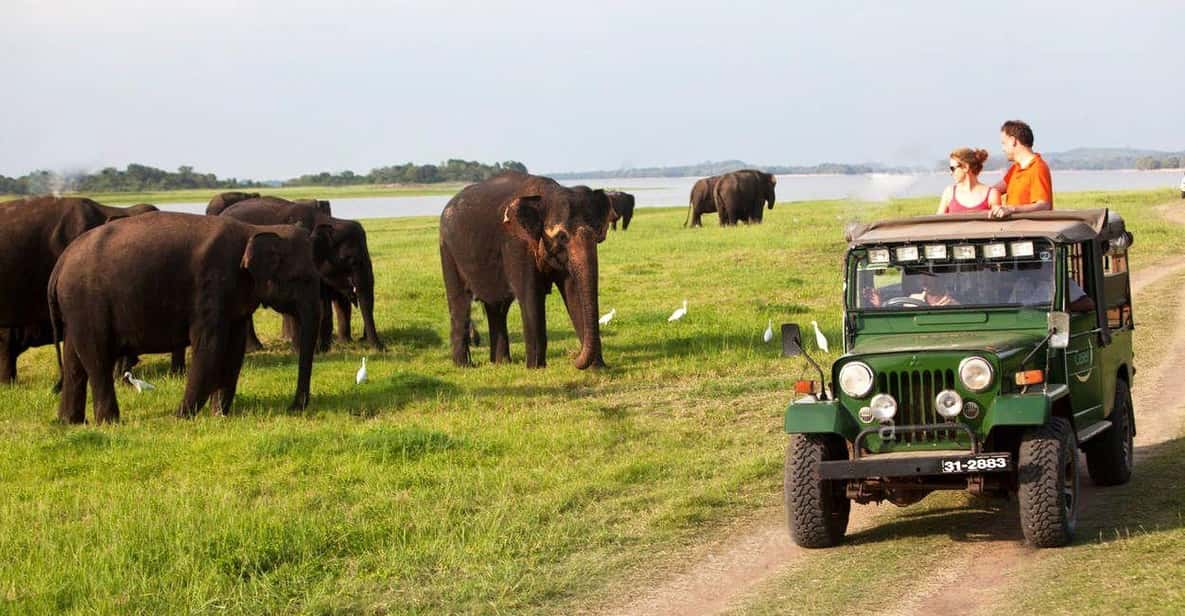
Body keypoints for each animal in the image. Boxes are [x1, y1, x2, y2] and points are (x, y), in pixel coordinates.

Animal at [49, 213, 322, 424]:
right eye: (303, 279)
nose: (293, 407)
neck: (254, 229)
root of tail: (60, 263)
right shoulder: (211, 286)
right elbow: (210, 346)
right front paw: (181, 417)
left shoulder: (234, 299)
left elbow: (234, 349)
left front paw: (219, 415)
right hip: (87, 304)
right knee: (97, 359)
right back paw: (110, 422)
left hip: (76, 310)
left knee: (74, 360)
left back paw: (70, 422)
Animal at [443, 170, 611, 367]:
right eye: (562, 237)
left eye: (598, 234)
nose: (573, 358)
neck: (546, 194)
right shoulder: (517, 244)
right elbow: (530, 295)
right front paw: (536, 368)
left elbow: (574, 293)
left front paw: (598, 369)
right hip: (448, 251)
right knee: (460, 304)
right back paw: (464, 365)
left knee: (497, 307)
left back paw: (501, 363)